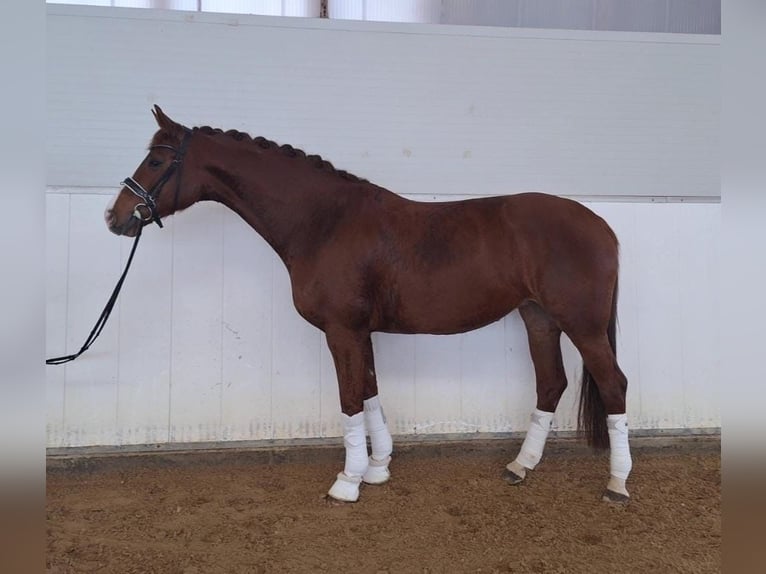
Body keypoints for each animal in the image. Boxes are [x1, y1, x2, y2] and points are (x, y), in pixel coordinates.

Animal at [106, 106, 632, 504]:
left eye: (156, 162)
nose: (115, 217)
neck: (323, 221)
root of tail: (601, 225)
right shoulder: (361, 332)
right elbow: (371, 391)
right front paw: (377, 468)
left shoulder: (342, 330)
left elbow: (349, 399)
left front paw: (347, 481)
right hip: (539, 318)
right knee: (551, 384)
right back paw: (520, 466)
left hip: (583, 326)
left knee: (614, 385)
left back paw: (617, 484)